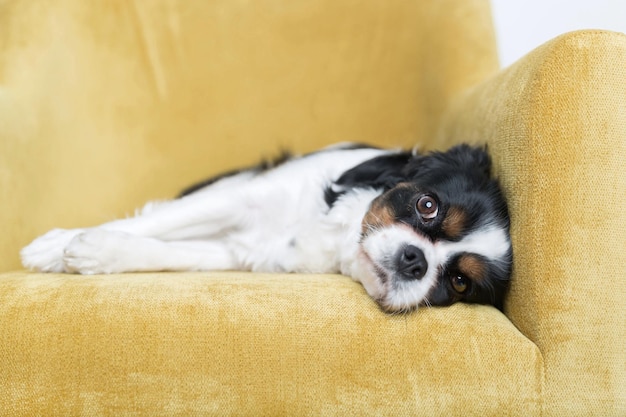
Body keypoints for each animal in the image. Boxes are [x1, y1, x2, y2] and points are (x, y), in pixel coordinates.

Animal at [19, 143, 510, 312]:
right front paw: (52, 247)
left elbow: (166, 249)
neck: (336, 235)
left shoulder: (241, 251)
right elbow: (158, 221)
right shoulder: (239, 199)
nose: (415, 260)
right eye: (427, 205)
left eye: (459, 283)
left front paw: (97, 251)